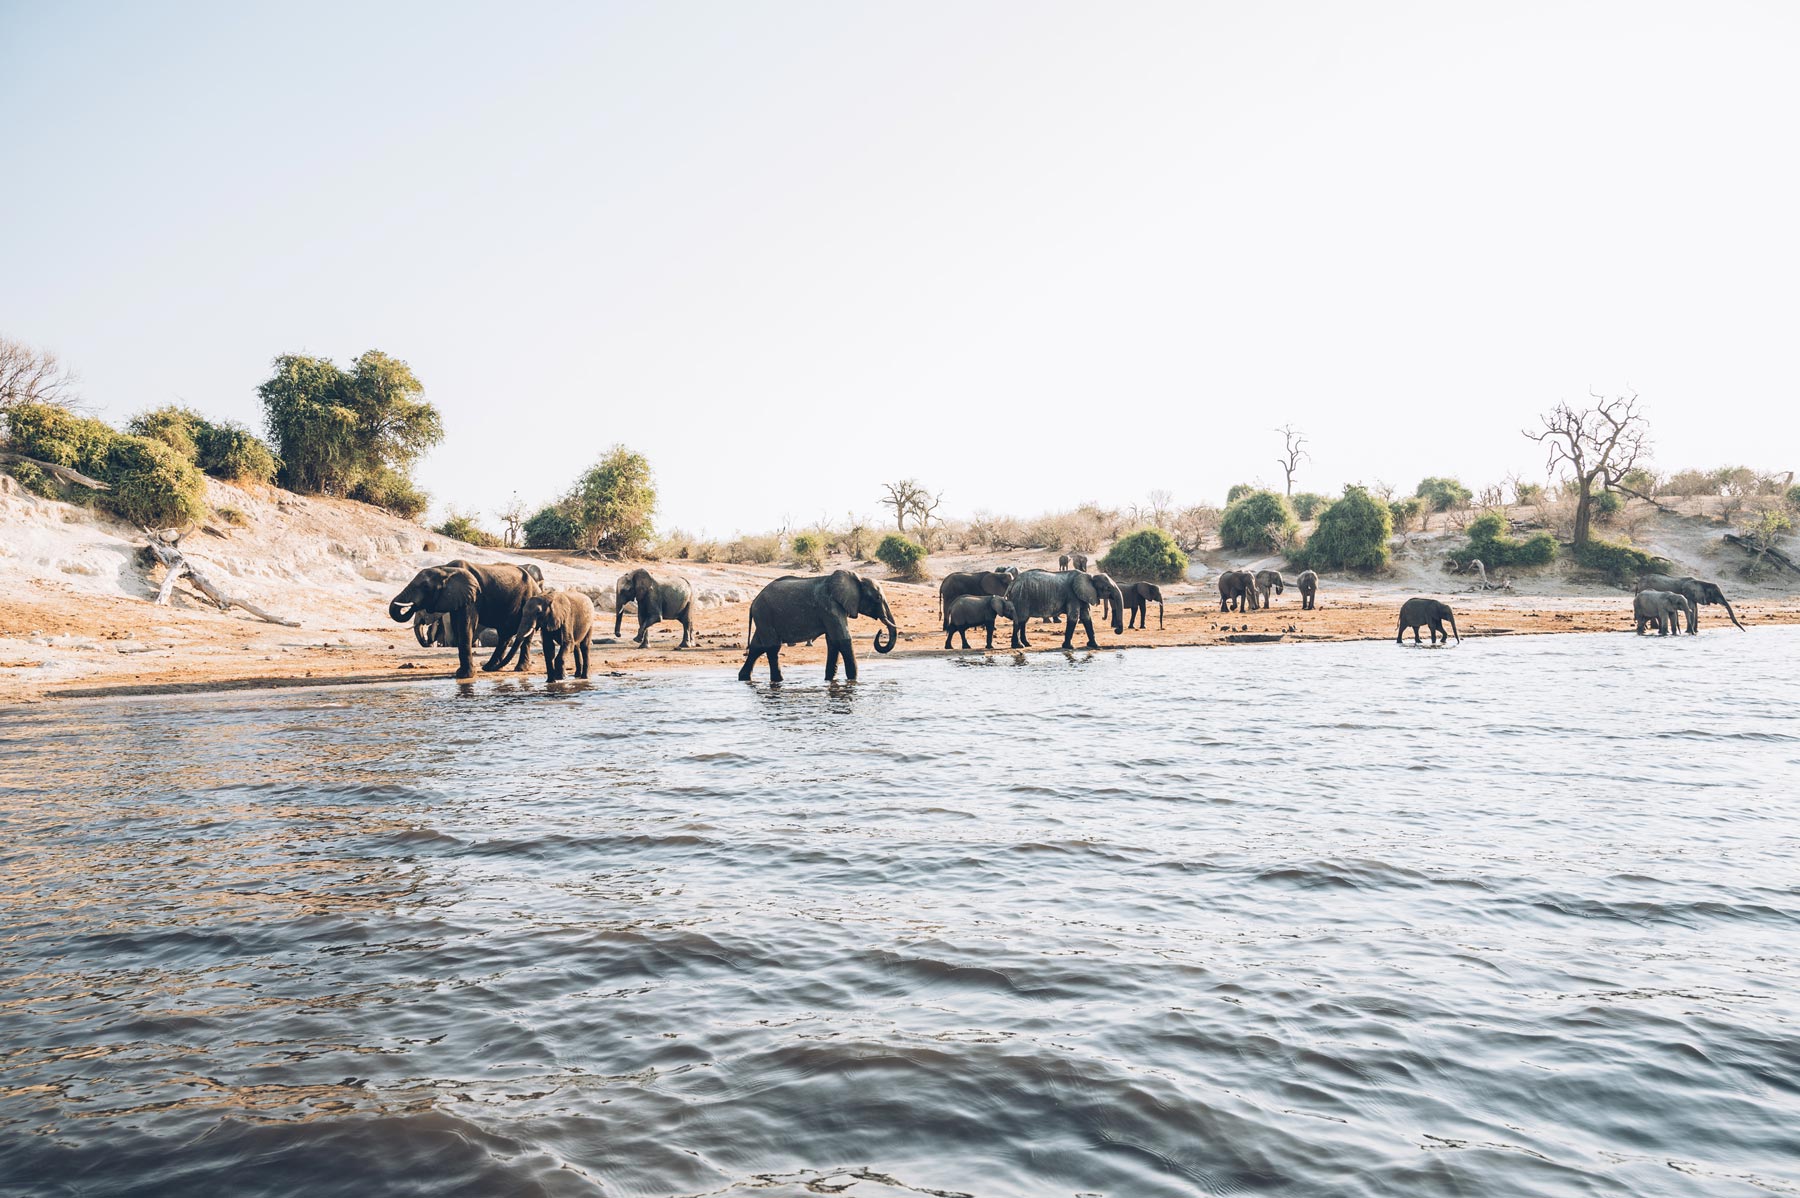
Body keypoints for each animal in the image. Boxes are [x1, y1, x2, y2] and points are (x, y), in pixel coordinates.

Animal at [388, 557, 540, 672]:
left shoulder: (473, 596)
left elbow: (466, 624)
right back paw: (490, 668)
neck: (445, 569)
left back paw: (518, 669)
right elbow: (458, 625)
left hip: (528, 600)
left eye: (425, 587)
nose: (412, 605)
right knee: (505, 635)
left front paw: (464, 675)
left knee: (521, 635)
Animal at [734, 568, 896, 679]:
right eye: (878, 598)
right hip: (764, 614)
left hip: (763, 617)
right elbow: (843, 639)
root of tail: (753, 602)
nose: (880, 631)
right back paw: (778, 681)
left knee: (757, 647)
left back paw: (744, 678)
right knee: (773, 648)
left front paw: (829, 680)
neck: (858, 578)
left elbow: (833, 642)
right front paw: (853, 680)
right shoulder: (829, 605)